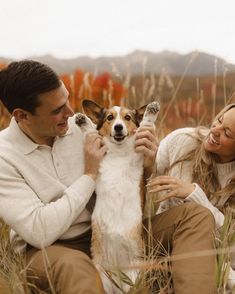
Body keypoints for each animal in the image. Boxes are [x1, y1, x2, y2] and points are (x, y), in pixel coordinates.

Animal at [75, 100, 160, 292]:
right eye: (110, 118)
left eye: (127, 117)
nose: (118, 127)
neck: (119, 154)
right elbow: (91, 132)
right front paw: (83, 121)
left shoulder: (138, 159)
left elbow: (146, 124)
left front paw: (151, 110)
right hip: (101, 277)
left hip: (134, 279)